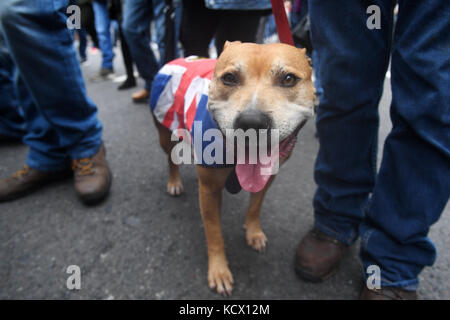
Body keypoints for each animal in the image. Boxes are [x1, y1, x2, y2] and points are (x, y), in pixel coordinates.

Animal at [149, 42, 314, 296]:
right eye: (229, 78)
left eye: (288, 79)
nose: (252, 123)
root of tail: (176, 59)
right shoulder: (208, 190)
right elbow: (214, 233)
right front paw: (219, 271)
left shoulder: (269, 177)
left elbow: (255, 206)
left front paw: (253, 232)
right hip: (165, 132)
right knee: (170, 159)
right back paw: (174, 182)